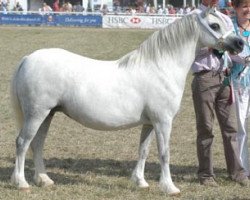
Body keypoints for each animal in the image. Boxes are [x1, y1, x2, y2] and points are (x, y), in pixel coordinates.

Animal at [10, 8, 243, 195]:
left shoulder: (150, 123)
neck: (161, 67)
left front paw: (140, 182)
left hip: (47, 114)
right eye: (215, 25)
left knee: (37, 144)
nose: (240, 43)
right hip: (37, 114)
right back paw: (21, 183)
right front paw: (169, 187)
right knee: (23, 143)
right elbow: (164, 153)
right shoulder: (163, 122)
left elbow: (143, 151)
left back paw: (44, 180)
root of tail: (28, 58)